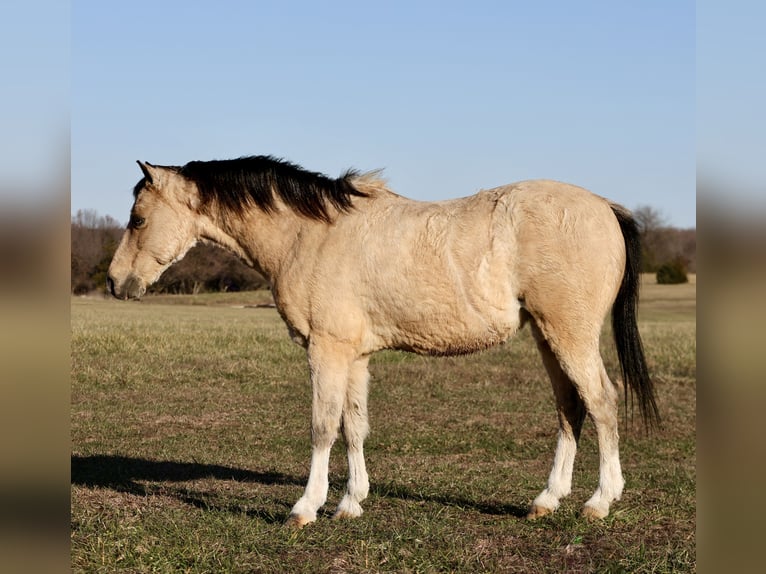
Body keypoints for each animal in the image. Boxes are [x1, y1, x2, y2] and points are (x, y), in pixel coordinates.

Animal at [106, 155, 660, 528]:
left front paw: (306, 507)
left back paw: (599, 501)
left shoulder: (326, 350)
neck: (312, 235)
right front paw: (351, 502)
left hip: (569, 335)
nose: (114, 283)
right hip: (548, 337)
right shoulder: (355, 356)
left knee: (602, 401)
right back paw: (547, 500)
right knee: (571, 407)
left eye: (137, 219)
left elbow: (322, 427)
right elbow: (354, 426)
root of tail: (605, 207)